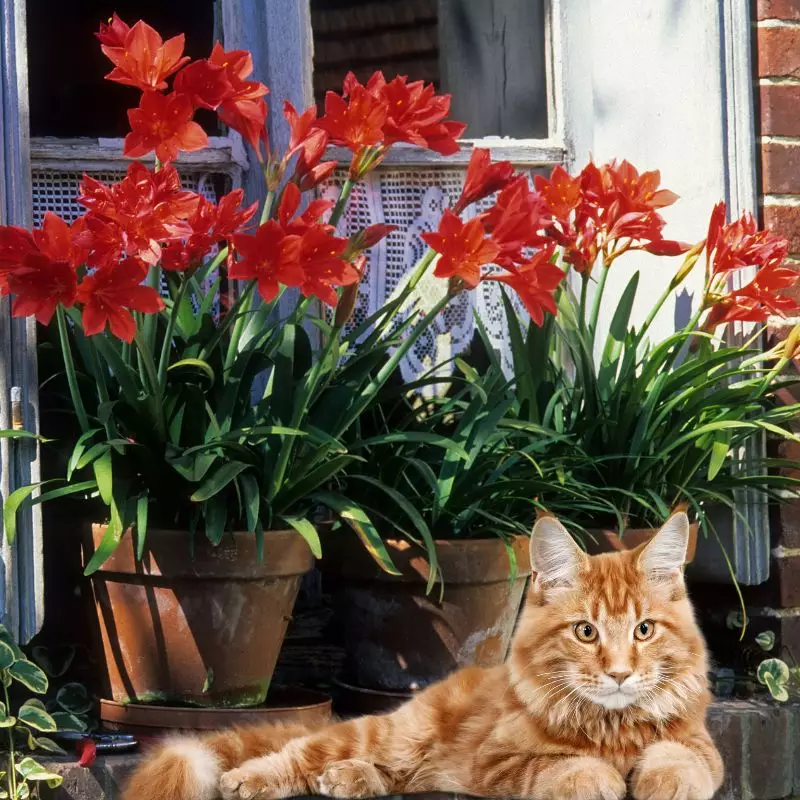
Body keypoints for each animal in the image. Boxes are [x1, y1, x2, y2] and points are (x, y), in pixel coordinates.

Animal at [123, 512, 724, 800]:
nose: (620, 674)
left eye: (644, 630)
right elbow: (564, 768)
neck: (611, 727)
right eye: (585, 632)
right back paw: (248, 780)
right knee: (297, 752)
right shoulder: (497, 763)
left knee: (392, 776)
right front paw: (600, 778)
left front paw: (661, 779)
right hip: (390, 733)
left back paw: (348, 780)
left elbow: (683, 760)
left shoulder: (700, 745)